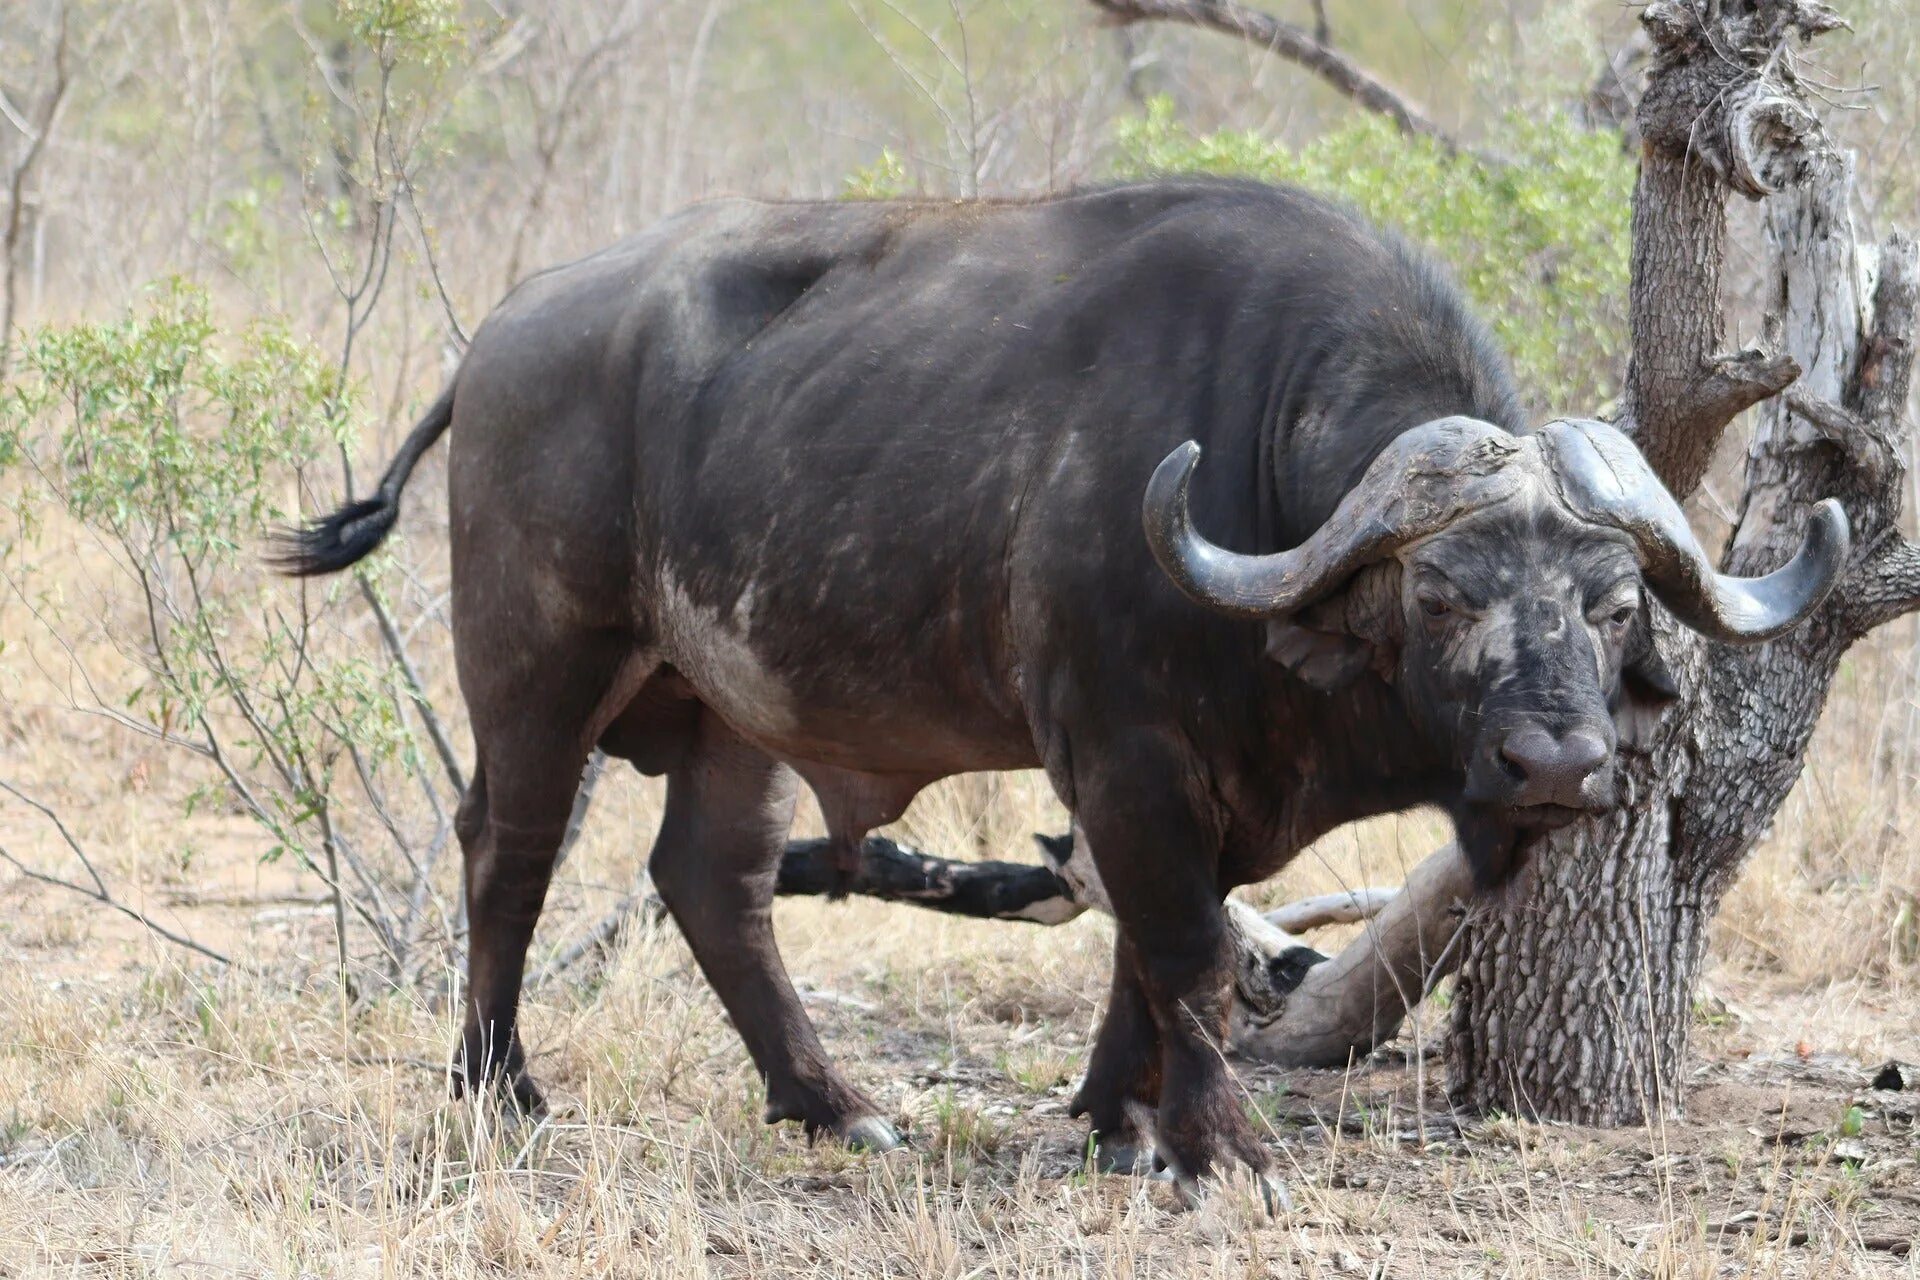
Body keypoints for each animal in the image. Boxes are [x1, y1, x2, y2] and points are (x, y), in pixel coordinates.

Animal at [274, 180, 1843, 1205]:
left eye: (1614, 600)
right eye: (1442, 592)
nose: (1557, 765)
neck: (1256, 465)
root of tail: (503, 336)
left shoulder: (1189, 787)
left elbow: (1147, 951)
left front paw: (1116, 1121)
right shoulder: (1126, 752)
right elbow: (1187, 947)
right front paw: (1225, 1149)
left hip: (737, 709)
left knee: (710, 880)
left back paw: (836, 1108)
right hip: (541, 665)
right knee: (508, 851)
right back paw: (501, 1089)